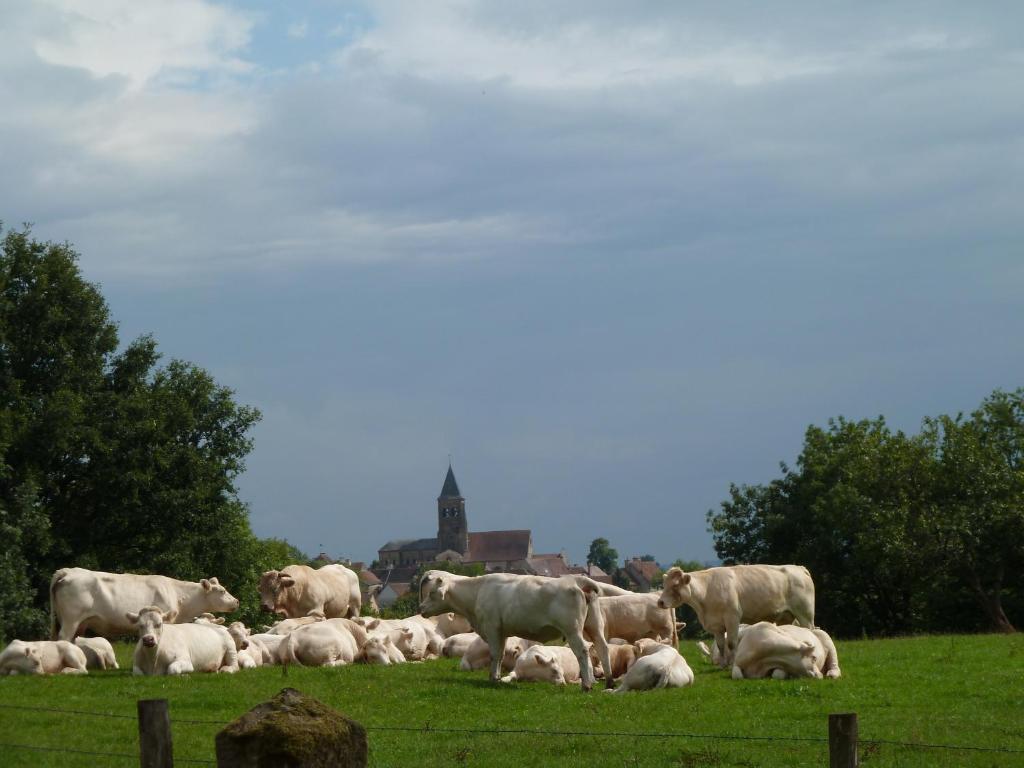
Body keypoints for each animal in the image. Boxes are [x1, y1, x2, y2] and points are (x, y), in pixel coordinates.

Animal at [419, 573, 610, 692]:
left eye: (433, 593)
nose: (421, 607)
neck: (478, 591)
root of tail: (576, 580)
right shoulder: (502, 631)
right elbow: (501, 655)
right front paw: (496, 677)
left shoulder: (492, 628)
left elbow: (495, 654)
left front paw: (493, 678)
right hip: (594, 626)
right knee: (603, 648)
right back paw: (608, 682)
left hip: (573, 629)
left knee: (582, 651)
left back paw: (586, 685)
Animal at [655, 565, 815, 667]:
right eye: (664, 585)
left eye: (675, 585)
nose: (660, 602)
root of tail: (799, 568)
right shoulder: (716, 624)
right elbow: (720, 644)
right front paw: (723, 664)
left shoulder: (732, 618)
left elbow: (731, 643)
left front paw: (732, 663)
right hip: (786, 617)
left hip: (805, 614)